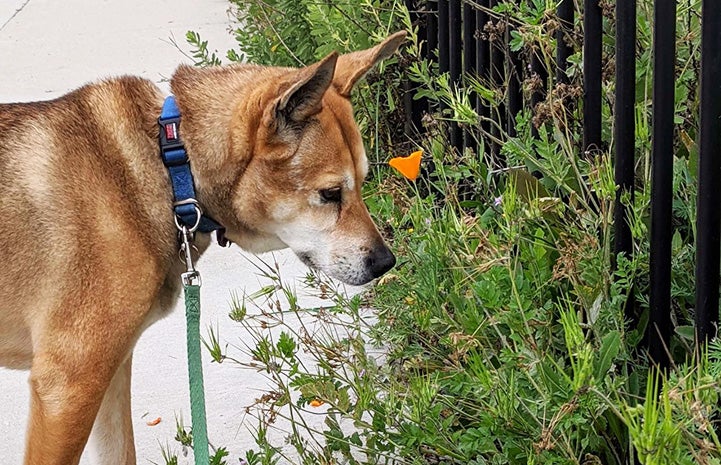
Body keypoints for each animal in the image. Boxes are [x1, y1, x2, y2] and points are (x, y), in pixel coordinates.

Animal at [0, 30, 404, 462]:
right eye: (330, 194)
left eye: (362, 183)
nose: (386, 262)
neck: (171, 166)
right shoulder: (68, 387)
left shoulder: (110, 374)